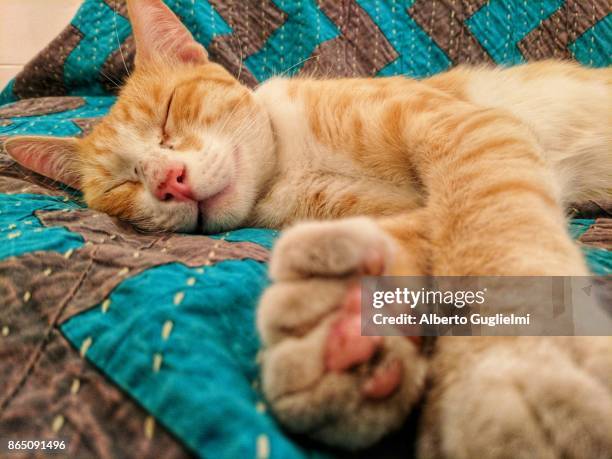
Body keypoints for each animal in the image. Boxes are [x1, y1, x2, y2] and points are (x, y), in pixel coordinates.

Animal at [4, 0, 612, 459]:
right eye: (121, 185)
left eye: (170, 112)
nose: (168, 181)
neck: (287, 163)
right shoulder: (386, 209)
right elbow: (424, 234)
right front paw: (341, 335)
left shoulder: (468, 128)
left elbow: (491, 221)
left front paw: (512, 368)